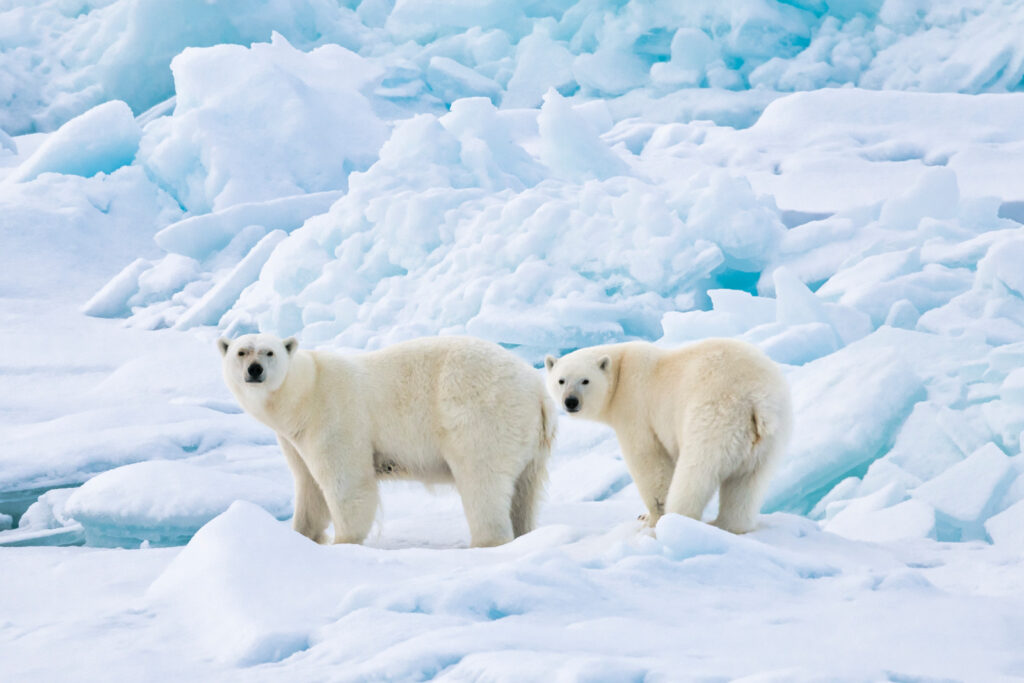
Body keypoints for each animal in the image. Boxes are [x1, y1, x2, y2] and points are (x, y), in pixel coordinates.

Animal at [219, 333, 556, 547]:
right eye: (241, 351)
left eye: (269, 352)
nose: (254, 370)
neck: (305, 391)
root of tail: (537, 391)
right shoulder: (293, 439)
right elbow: (309, 487)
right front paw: (302, 535)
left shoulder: (335, 418)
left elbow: (348, 484)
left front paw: (344, 541)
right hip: (531, 443)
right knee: (525, 491)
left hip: (481, 416)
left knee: (481, 481)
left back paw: (487, 541)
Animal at [545, 339, 791, 533]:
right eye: (561, 380)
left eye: (585, 380)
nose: (571, 402)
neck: (620, 371)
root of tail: (757, 400)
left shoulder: (636, 410)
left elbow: (649, 462)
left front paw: (651, 518)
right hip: (769, 437)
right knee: (748, 483)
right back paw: (726, 525)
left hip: (714, 416)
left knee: (695, 472)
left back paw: (678, 521)